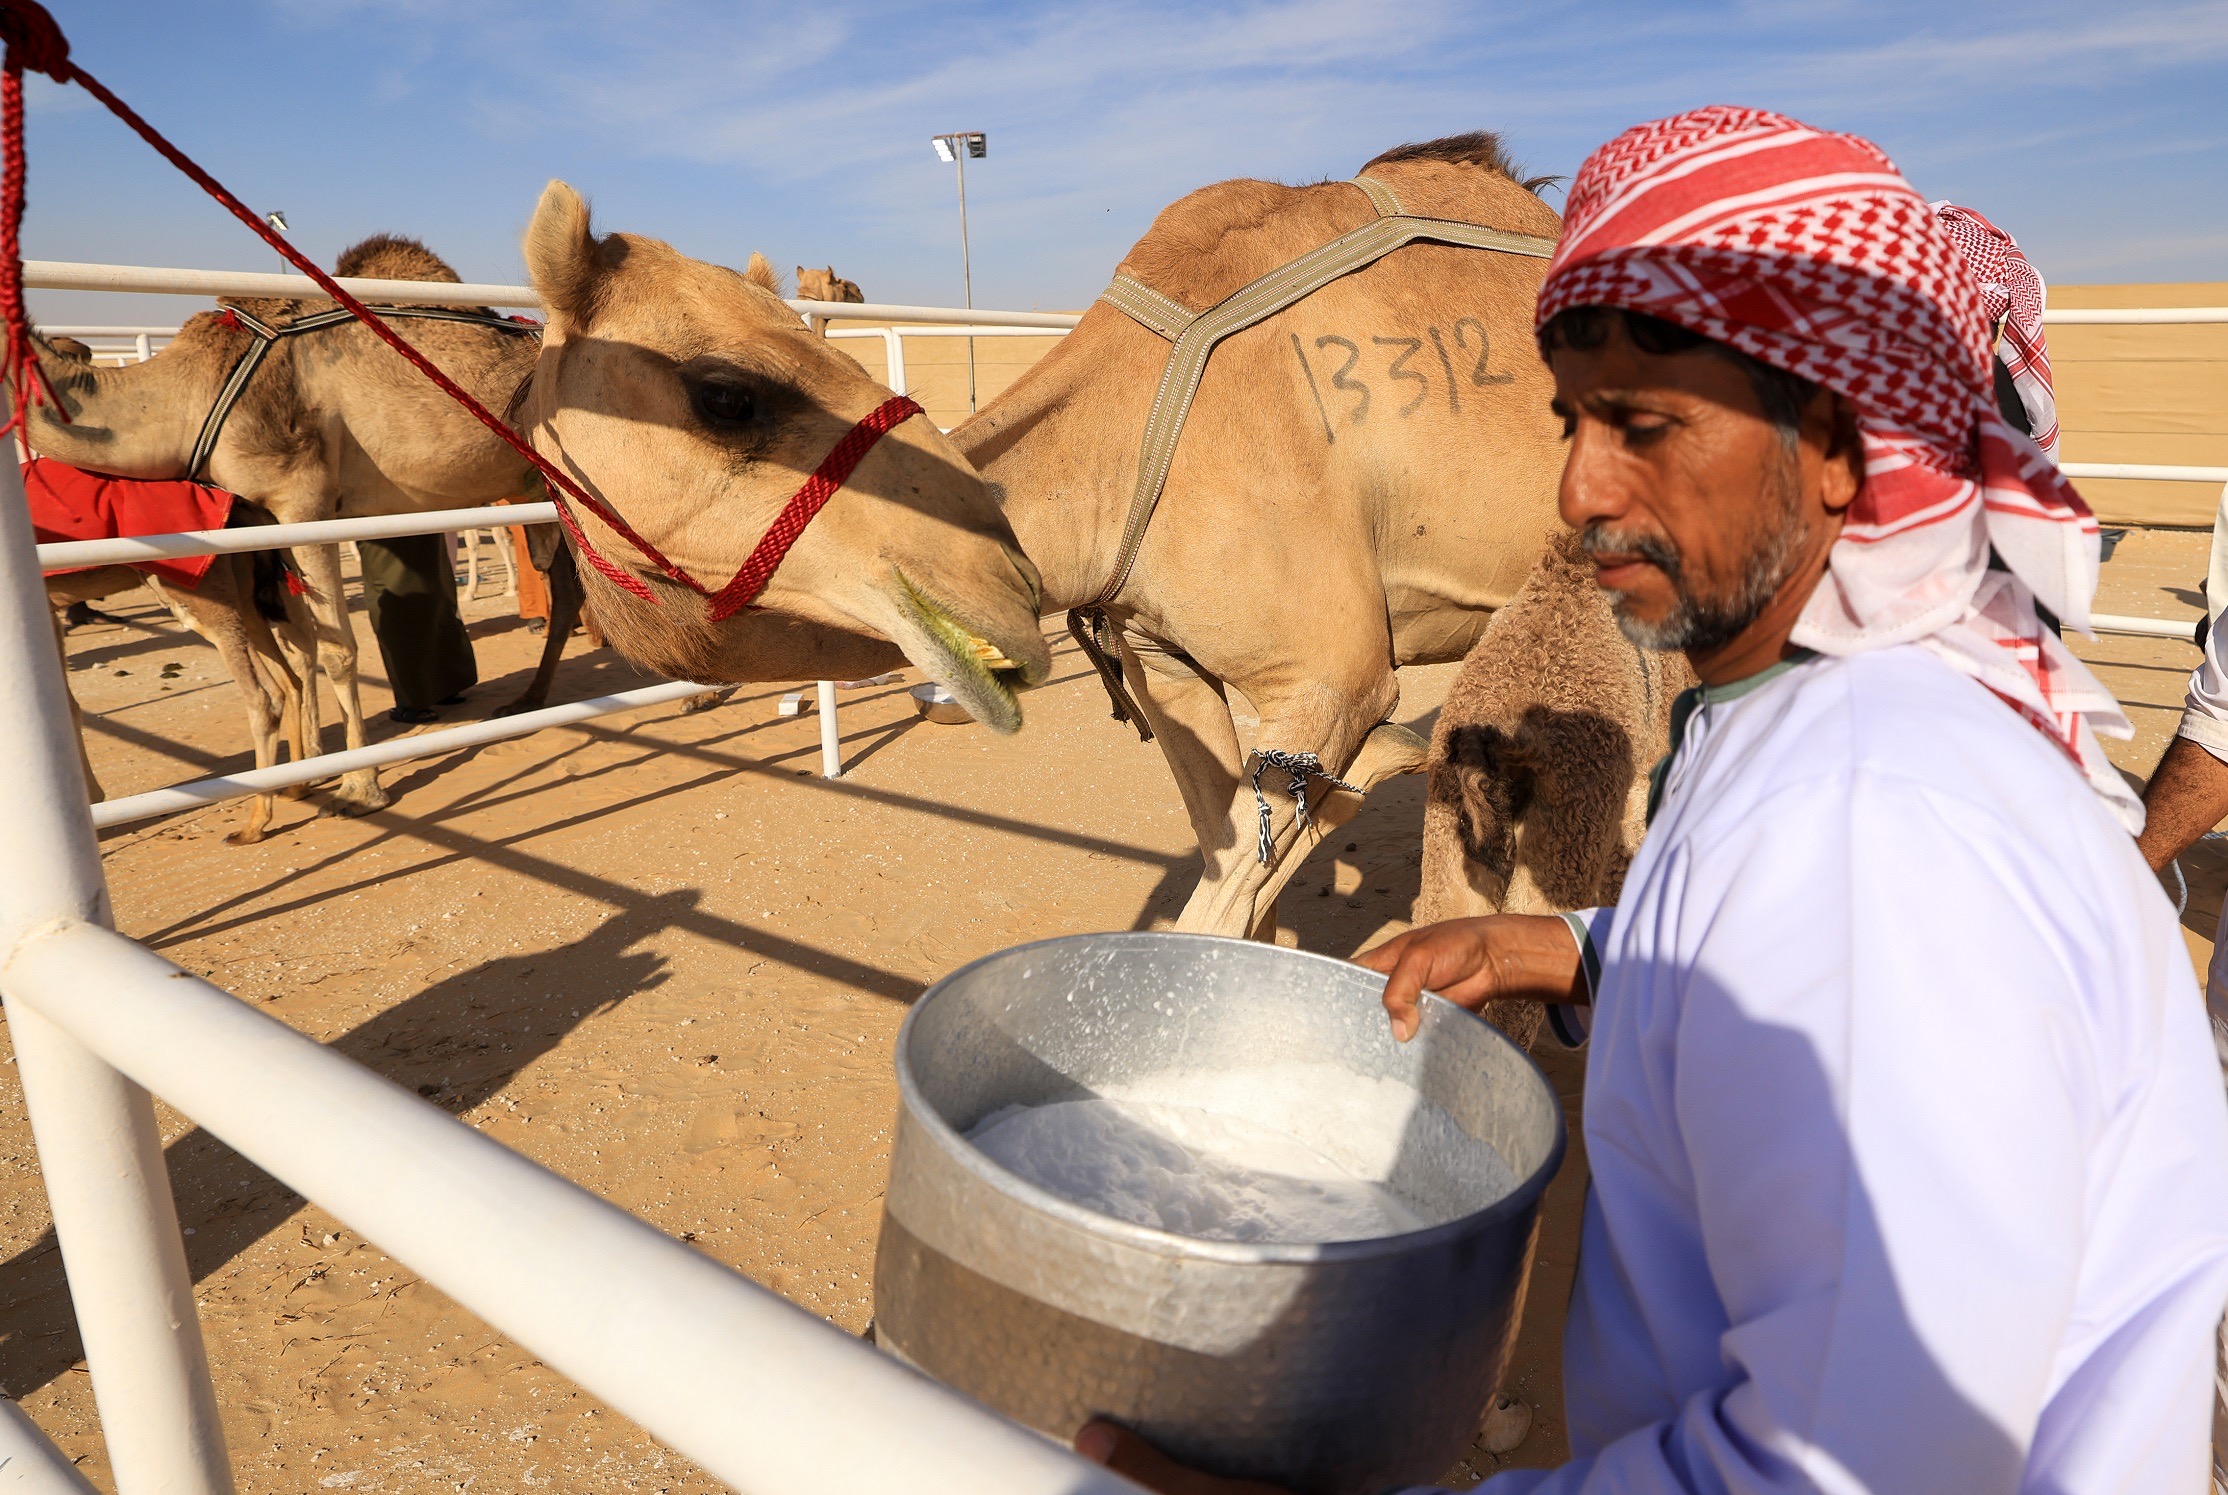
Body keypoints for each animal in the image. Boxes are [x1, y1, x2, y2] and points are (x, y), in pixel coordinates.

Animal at [22, 238, 570, 810]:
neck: (191, 395)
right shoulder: (266, 517)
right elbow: (301, 645)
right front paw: (306, 774)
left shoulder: (303, 500)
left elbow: (336, 650)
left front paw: (360, 786)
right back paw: (528, 699)